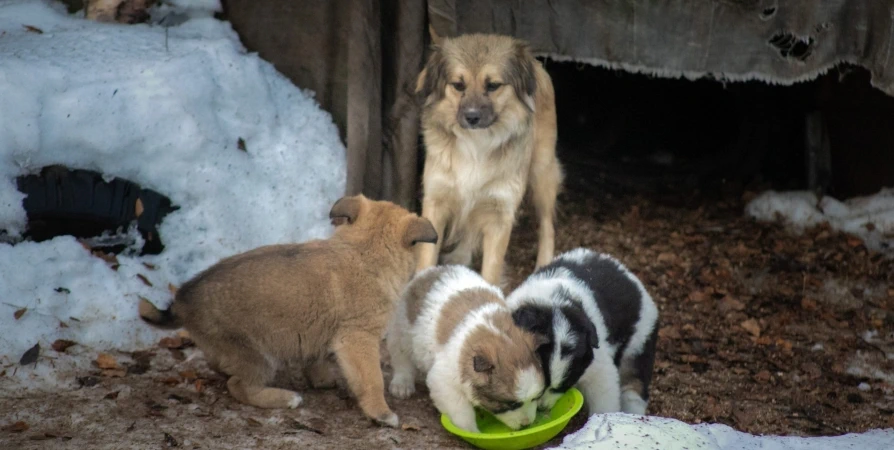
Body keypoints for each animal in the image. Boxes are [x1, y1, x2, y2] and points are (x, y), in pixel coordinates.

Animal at [137, 193, 440, 426]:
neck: (363, 250)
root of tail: (181, 301)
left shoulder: (323, 333)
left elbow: (315, 358)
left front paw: (321, 379)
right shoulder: (359, 339)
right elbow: (372, 380)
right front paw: (381, 413)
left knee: (223, 369)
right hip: (257, 356)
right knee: (238, 386)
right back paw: (284, 397)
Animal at [388, 266, 548, 430]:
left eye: (536, 397)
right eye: (512, 404)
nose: (526, 425)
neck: (494, 332)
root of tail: (429, 271)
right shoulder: (443, 381)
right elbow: (461, 411)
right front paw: (471, 430)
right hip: (402, 332)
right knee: (401, 359)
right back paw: (402, 383)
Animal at [416, 32, 564, 284]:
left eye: (493, 85)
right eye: (458, 85)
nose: (472, 117)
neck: (477, 143)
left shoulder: (500, 214)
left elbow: (490, 272)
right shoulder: (436, 202)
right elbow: (426, 258)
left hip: (542, 173)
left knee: (547, 225)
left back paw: (543, 264)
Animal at [512, 246, 656, 414]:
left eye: (563, 386)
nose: (542, 408)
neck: (553, 302)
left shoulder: (600, 370)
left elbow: (604, 403)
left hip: (639, 346)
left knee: (634, 388)